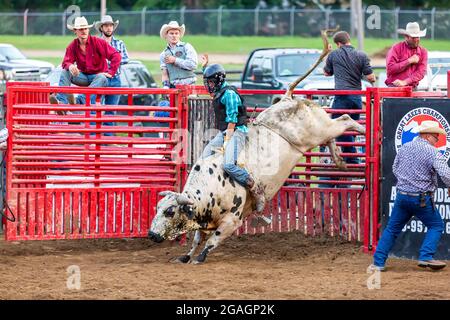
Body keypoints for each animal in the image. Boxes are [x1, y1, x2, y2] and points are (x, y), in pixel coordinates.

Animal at [148, 28, 366, 262]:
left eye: (170, 211)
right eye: (158, 207)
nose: (151, 234)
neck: (210, 187)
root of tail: (287, 98)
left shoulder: (232, 220)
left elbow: (212, 241)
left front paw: (200, 257)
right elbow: (197, 239)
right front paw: (186, 256)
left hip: (317, 131)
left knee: (344, 119)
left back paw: (362, 131)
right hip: (320, 130)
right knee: (332, 134)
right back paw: (339, 160)